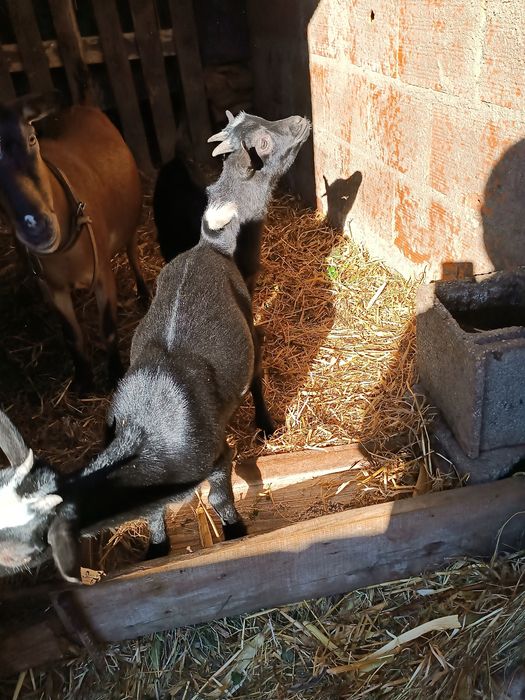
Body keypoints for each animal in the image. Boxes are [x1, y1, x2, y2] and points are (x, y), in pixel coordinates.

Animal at [0, 91, 148, 392]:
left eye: (32, 139)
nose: (37, 228)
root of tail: (83, 104)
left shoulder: (103, 274)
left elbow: (109, 329)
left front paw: (115, 374)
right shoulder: (52, 287)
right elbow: (71, 335)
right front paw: (84, 379)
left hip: (131, 216)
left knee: (132, 251)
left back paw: (144, 293)